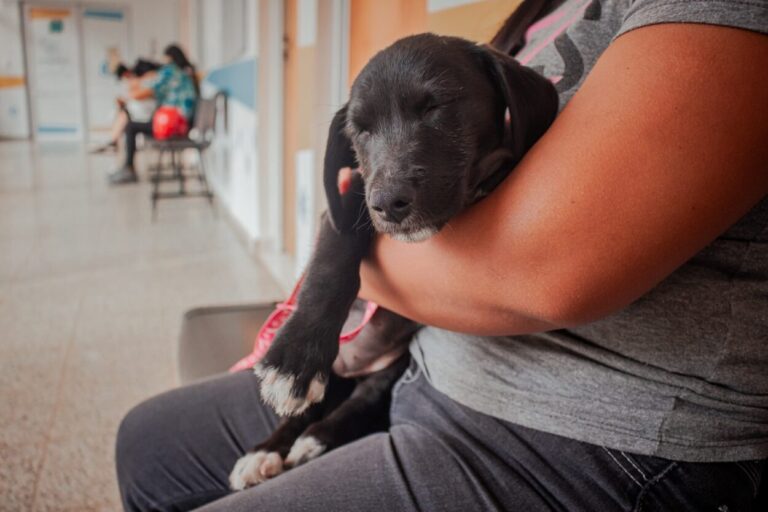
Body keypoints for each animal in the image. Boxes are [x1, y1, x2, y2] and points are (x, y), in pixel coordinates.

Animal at [228, 32, 560, 488]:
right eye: (360, 130)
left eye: (436, 106)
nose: (388, 203)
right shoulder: (346, 201)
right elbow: (330, 262)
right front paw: (293, 360)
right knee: (309, 408)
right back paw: (265, 451)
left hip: (393, 364)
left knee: (363, 399)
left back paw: (316, 440)